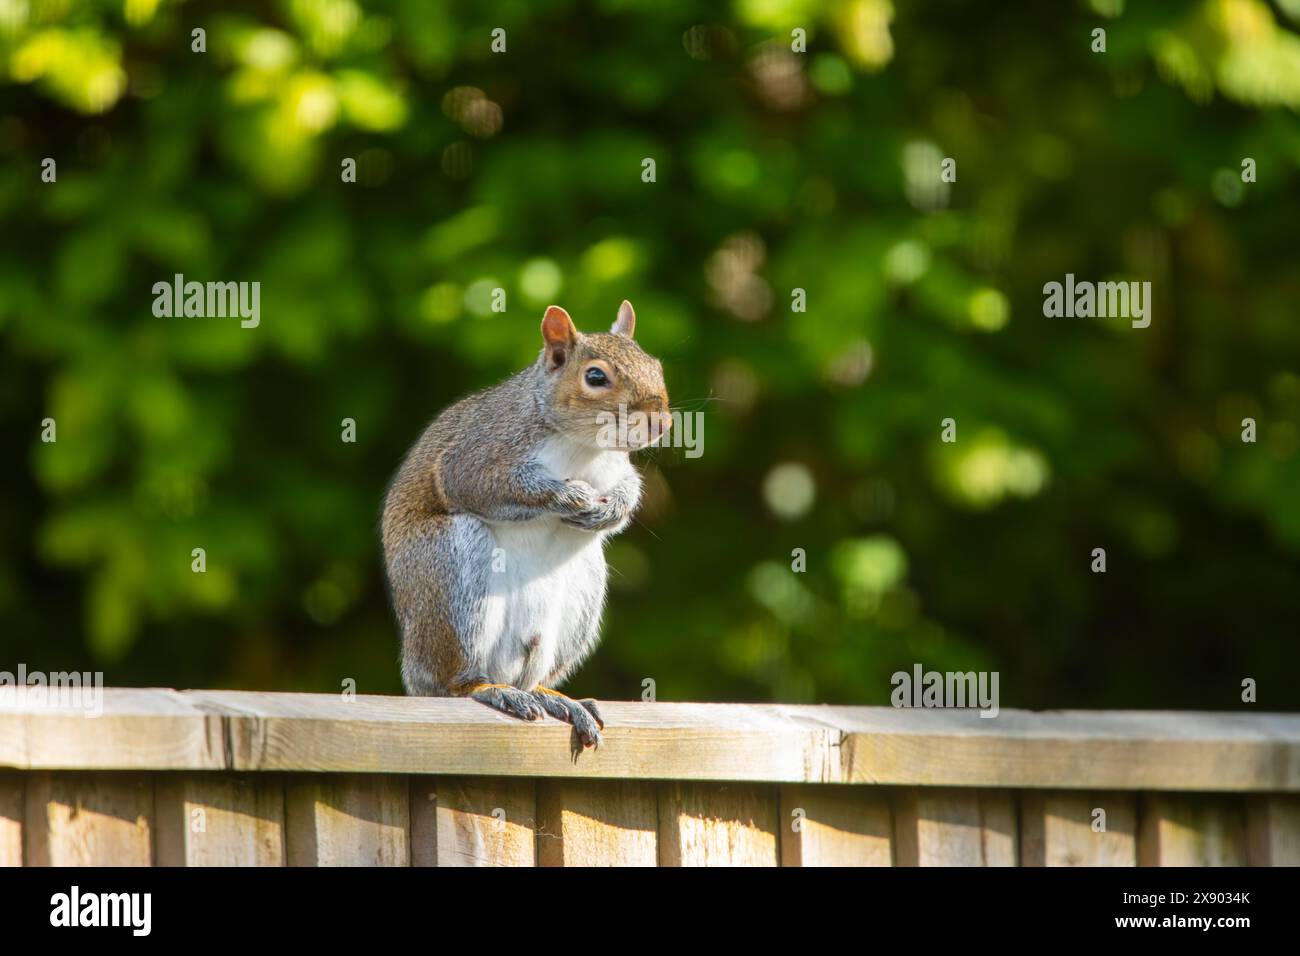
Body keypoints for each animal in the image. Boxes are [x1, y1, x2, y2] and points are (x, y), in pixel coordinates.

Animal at [381, 301, 670, 749]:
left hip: (580, 595)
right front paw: (569, 496)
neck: (583, 447)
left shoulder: (617, 468)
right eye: (596, 377)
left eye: (656, 366)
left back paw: (552, 697)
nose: (661, 422)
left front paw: (609, 510)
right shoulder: (479, 453)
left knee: (533, 676)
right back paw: (487, 689)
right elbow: (479, 481)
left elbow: (629, 489)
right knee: (454, 682)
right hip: (451, 569)